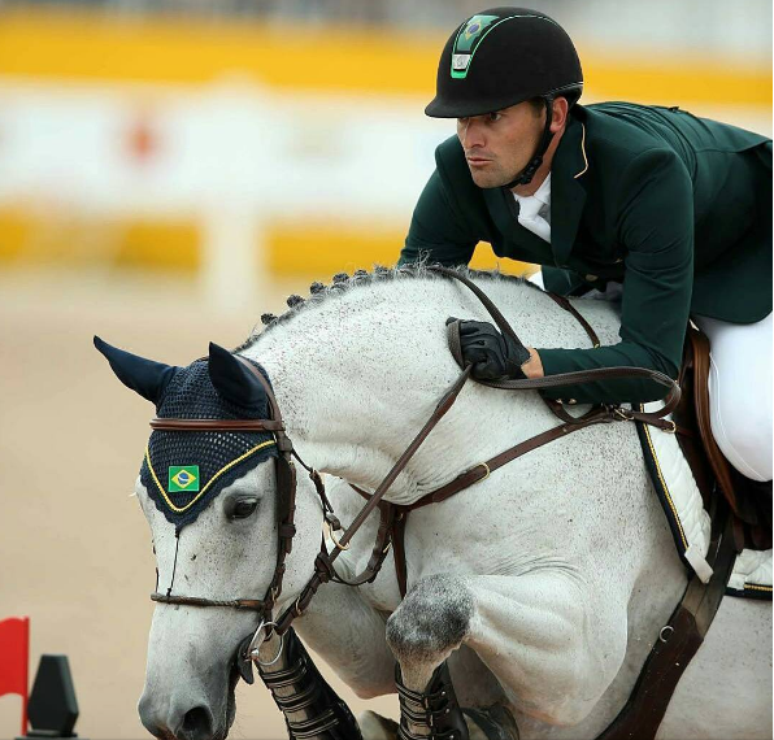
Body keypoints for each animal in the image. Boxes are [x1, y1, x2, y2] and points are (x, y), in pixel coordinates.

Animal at [94, 266, 772, 740]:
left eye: (242, 507)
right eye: (142, 506)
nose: (172, 713)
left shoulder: (583, 658)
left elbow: (427, 616)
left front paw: (447, 725)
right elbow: (313, 631)